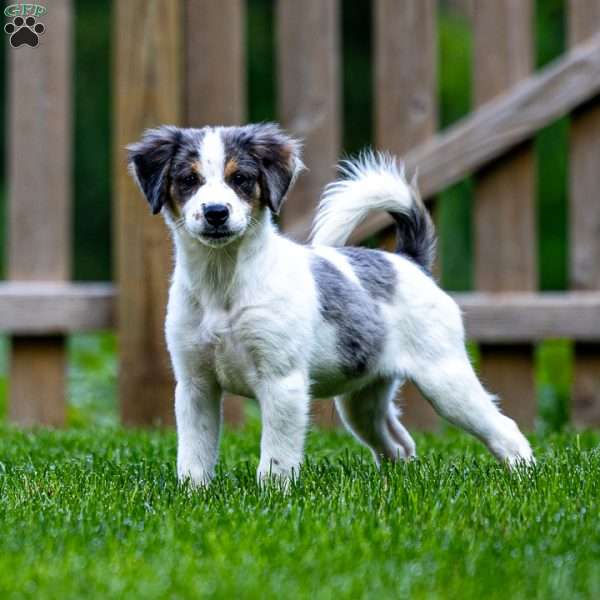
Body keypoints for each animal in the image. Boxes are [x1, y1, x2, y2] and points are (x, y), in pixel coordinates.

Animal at [127, 123, 536, 488]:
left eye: (240, 178)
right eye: (188, 180)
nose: (215, 212)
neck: (223, 286)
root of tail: (408, 262)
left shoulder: (283, 383)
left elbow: (276, 458)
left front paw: (272, 498)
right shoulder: (195, 385)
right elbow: (194, 454)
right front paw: (192, 494)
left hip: (445, 380)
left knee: (504, 428)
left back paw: (525, 477)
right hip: (362, 402)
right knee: (399, 444)